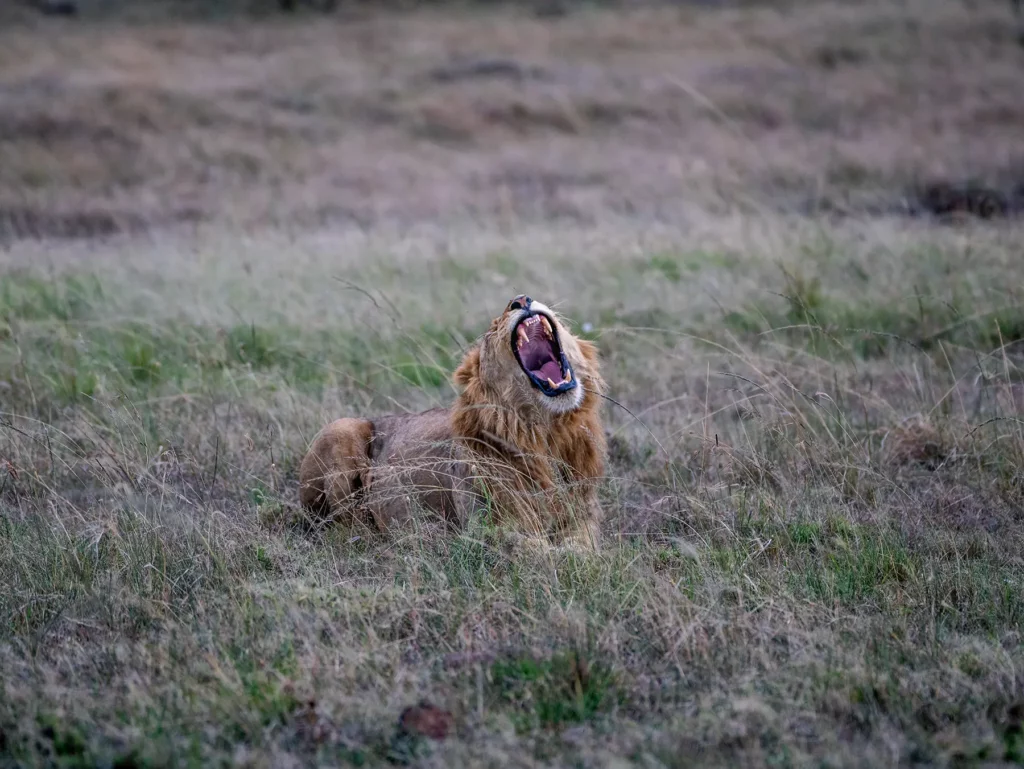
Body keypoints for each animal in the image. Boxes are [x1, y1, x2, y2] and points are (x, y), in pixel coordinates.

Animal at [298, 294, 606, 549]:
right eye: (493, 328)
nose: (520, 299)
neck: (543, 432)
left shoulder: (584, 514)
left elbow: (582, 547)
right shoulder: (484, 528)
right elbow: (538, 551)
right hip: (341, 429)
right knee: (345, 524)